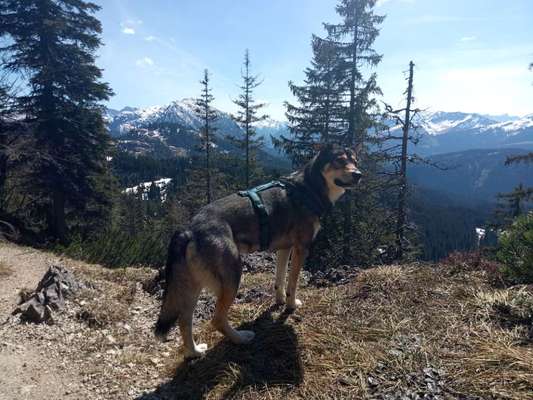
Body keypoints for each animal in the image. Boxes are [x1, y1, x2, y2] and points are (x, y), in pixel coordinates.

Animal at [154, 144, 362, 360]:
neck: (309, 188)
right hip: (232, 278)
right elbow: (293, 283)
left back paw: (194, 352)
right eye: (340, 160)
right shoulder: (301, 248)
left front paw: (279, 300)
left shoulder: (284, 248)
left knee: (184, 320)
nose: (359, 174)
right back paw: (241, 338)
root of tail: (189, 229)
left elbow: (280, 279)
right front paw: (291, 305)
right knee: (216, 319)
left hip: (193, 285)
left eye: (355, 161)